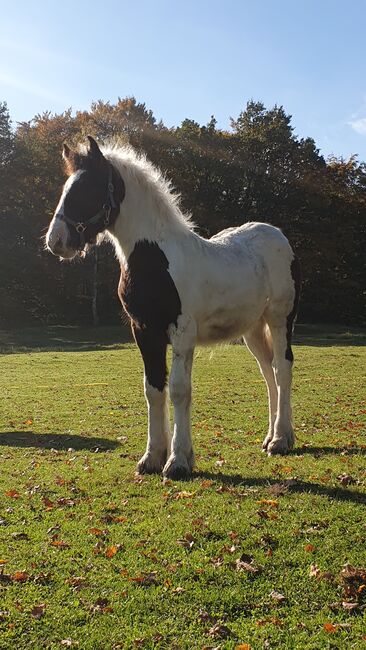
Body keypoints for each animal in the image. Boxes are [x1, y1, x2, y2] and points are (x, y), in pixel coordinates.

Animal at [45, 137, 300, 478]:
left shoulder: (181, 330)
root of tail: (278, 236)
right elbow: (153, 389)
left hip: (280, 319)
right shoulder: (143, 330)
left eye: (87, 189)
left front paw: (178, 460)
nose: (57, 241)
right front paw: (152, 457)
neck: (156, 257)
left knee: (282, 368)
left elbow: (179, 389)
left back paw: (281, 441)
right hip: (253, 329)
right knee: (268, 371)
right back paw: (270, 436)